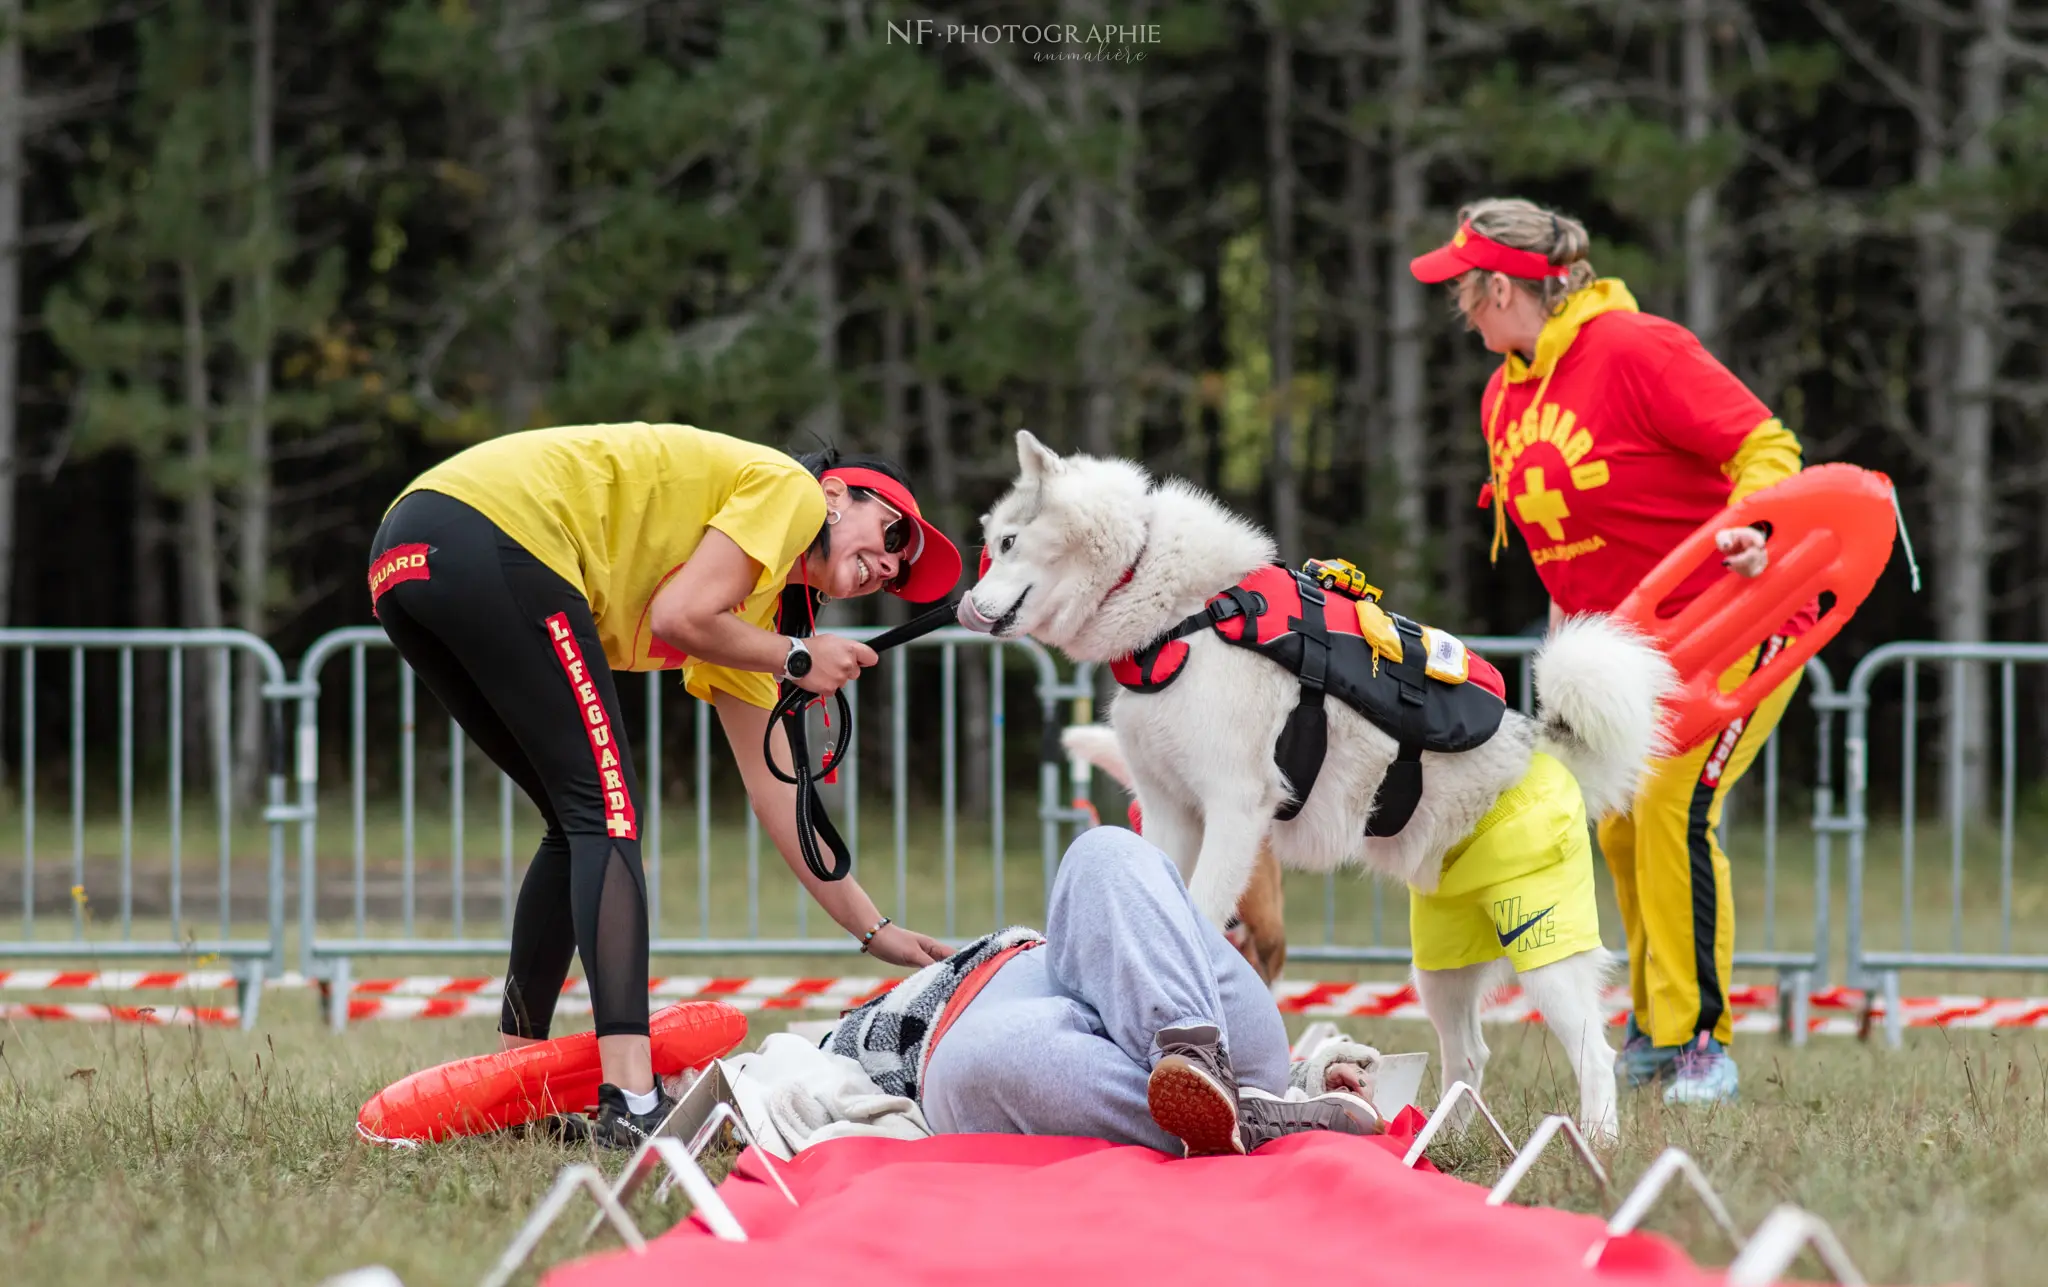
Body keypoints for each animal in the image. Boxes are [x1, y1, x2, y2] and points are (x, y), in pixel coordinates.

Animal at [950, 430, 1671, 1139]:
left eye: (1008, 543)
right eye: (990, 547)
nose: (964, 606)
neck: (1176, 606)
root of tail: (1544, 746)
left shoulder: (1236, 809)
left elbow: (1199, 910)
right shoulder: (1168, 811)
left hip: (1540, 951)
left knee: (1592, 1050)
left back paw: (1596, 1139)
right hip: (1438, 967)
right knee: (1470, 1050)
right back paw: (1439, 1137)